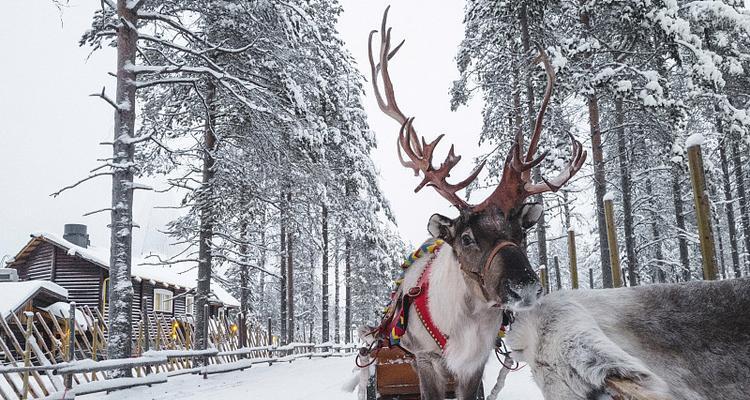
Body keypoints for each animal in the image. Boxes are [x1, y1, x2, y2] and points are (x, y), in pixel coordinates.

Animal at [361, 7, 586, 400]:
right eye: (466, 238)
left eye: (521, 233)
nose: (525, 287)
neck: (466, 322)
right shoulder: (426, 360)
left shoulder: (475, 365)